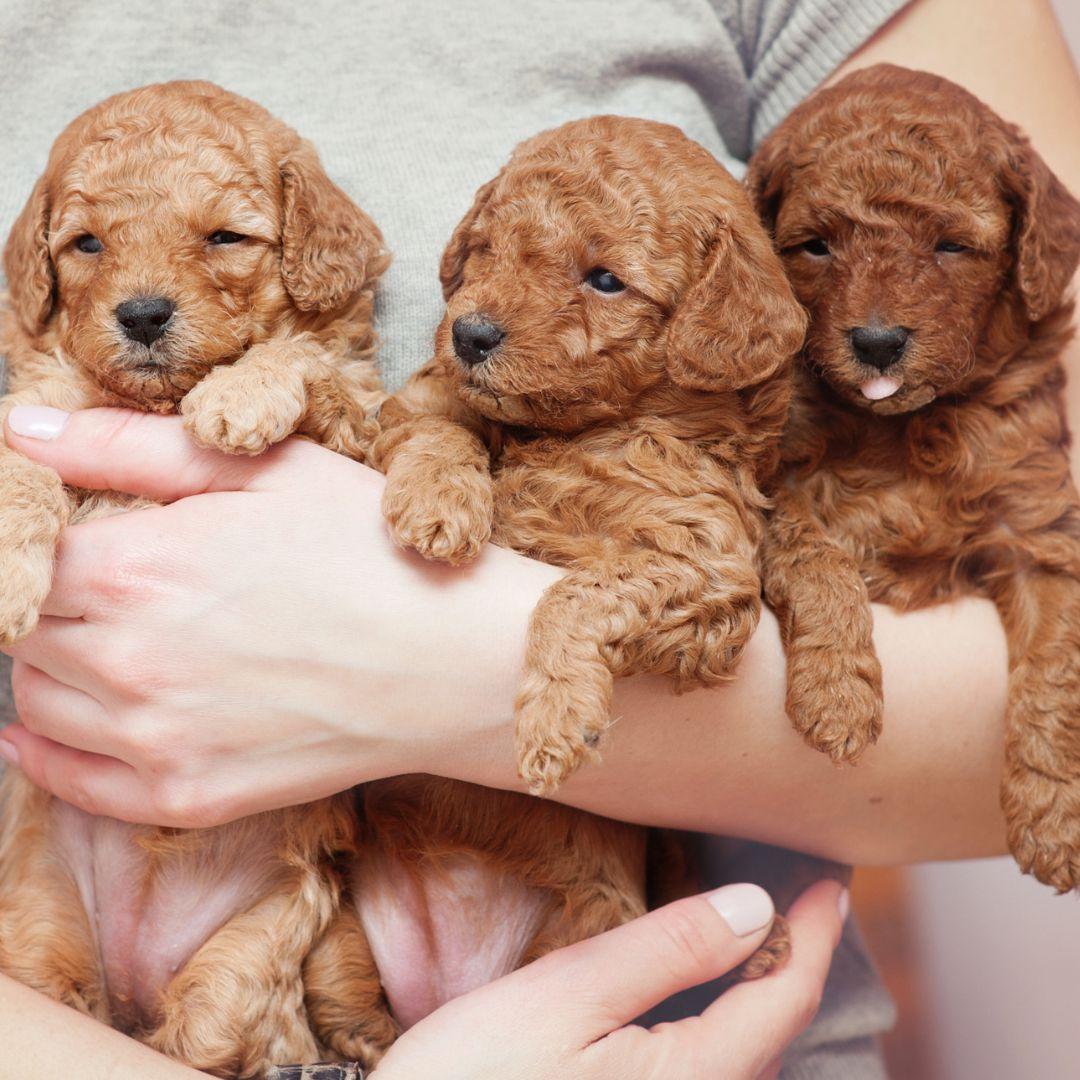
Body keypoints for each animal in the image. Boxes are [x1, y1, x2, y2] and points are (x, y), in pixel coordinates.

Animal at [300, 116, 807, 1062]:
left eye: (605, 279)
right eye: (487, 250)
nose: (472, 333)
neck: (569, 433)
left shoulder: (709, 567)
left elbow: (575, 592)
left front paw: (553, 719)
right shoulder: (422, 409)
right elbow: (436, 426)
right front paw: (440, 500)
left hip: (592, 918)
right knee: (348, 1010)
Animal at [747, 67, 1080, 889]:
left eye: (952, 245)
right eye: (815, 247)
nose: (876, 342)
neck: (905, 428)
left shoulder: (1039, 532)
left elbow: (1057, 666)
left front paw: (1054, 817)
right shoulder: (766, 489)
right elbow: (813, 555)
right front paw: (838, 694)